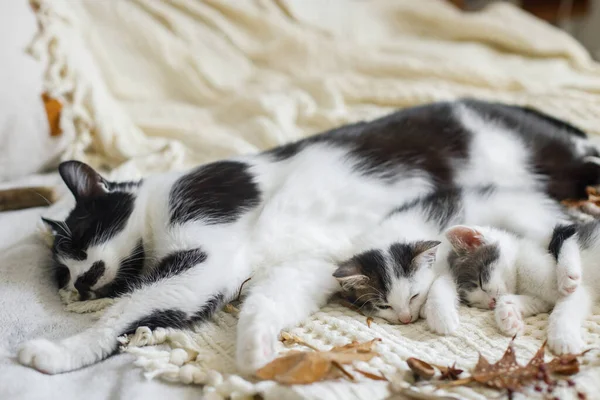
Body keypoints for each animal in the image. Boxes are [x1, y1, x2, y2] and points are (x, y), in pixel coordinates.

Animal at [332, 185, 568, 334]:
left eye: (413, 296)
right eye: (383, 306)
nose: (405, 319)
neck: (389, 236)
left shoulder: (446, 264)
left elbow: (439, 285)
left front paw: (441, 318)